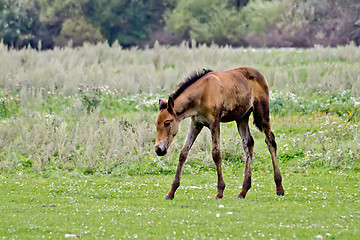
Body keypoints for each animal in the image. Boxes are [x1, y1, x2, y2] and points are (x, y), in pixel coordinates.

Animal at [155, 66, 284, 200]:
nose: (159, 149)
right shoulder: (196, 124)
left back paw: (279, 187)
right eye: (156, 124)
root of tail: (260, 75)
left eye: (167, 123)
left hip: (262, 113)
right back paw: (243, 191)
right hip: (242, 118)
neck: (202, 94)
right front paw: (171, 192)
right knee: (248, 144)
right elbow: (183, 153)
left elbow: (216, 154)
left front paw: (220, 191)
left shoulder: (214, 122)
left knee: (270, 141)